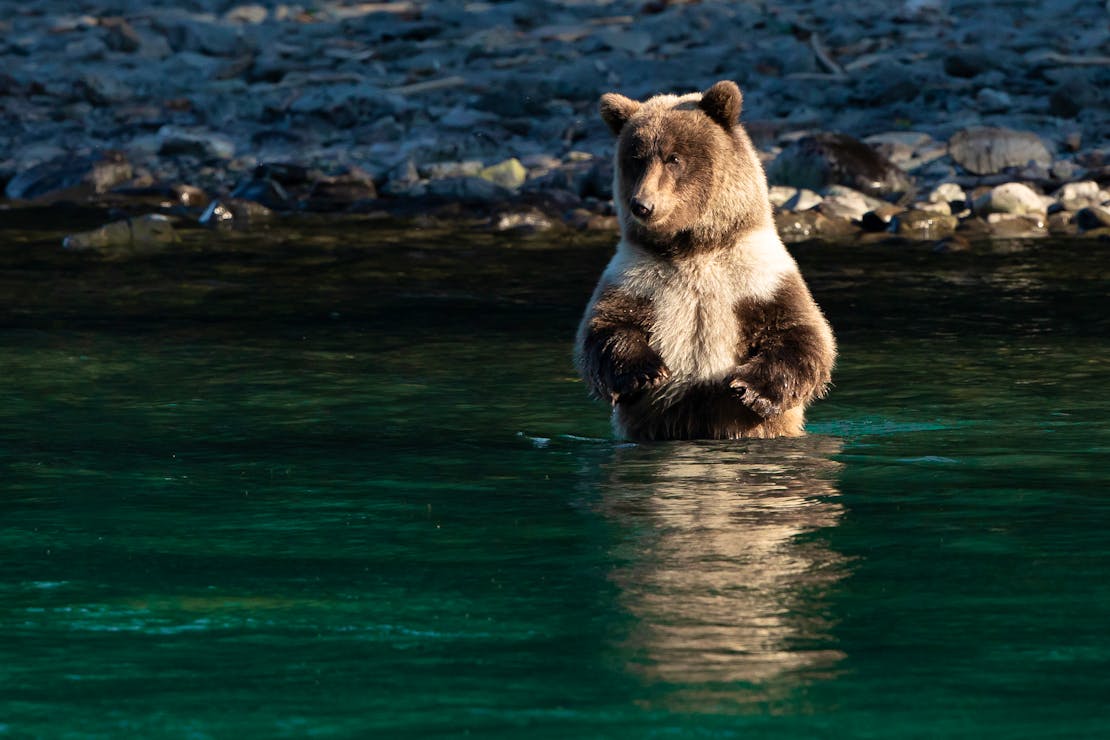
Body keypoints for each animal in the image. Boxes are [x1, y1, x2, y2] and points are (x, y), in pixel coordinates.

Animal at [577, 80, 834, 439]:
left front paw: (750, 389)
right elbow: (605, 328)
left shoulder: (757, 275)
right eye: (636, 159)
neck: (694, 248)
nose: (642, 205)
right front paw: (646, 372)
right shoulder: (636, 276)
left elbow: (802, 334)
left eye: (673, 157)